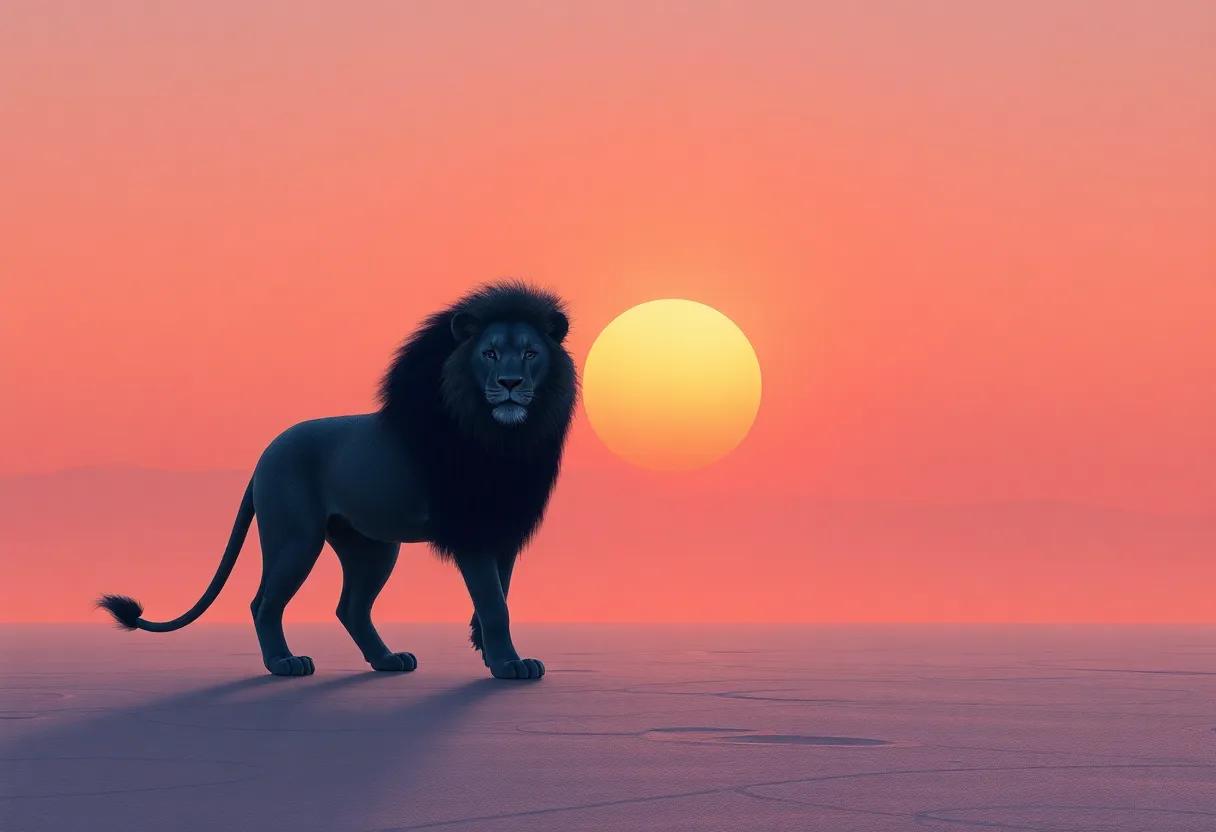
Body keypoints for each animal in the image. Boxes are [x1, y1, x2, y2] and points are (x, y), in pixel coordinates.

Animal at [98, 280, 576, 680]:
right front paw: (509, 666)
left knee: (351, 608)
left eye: (531, 353)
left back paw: (387, 660)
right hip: (295, 537)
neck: (507, 440)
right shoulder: (471, 531)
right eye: (489, 354)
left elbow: (499, 598)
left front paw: (492, 653)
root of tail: (265, 454)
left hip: (372, 547)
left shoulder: (502, 528)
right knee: (265, 602)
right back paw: (284, 663)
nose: (510, 383)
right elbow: (495, 605)